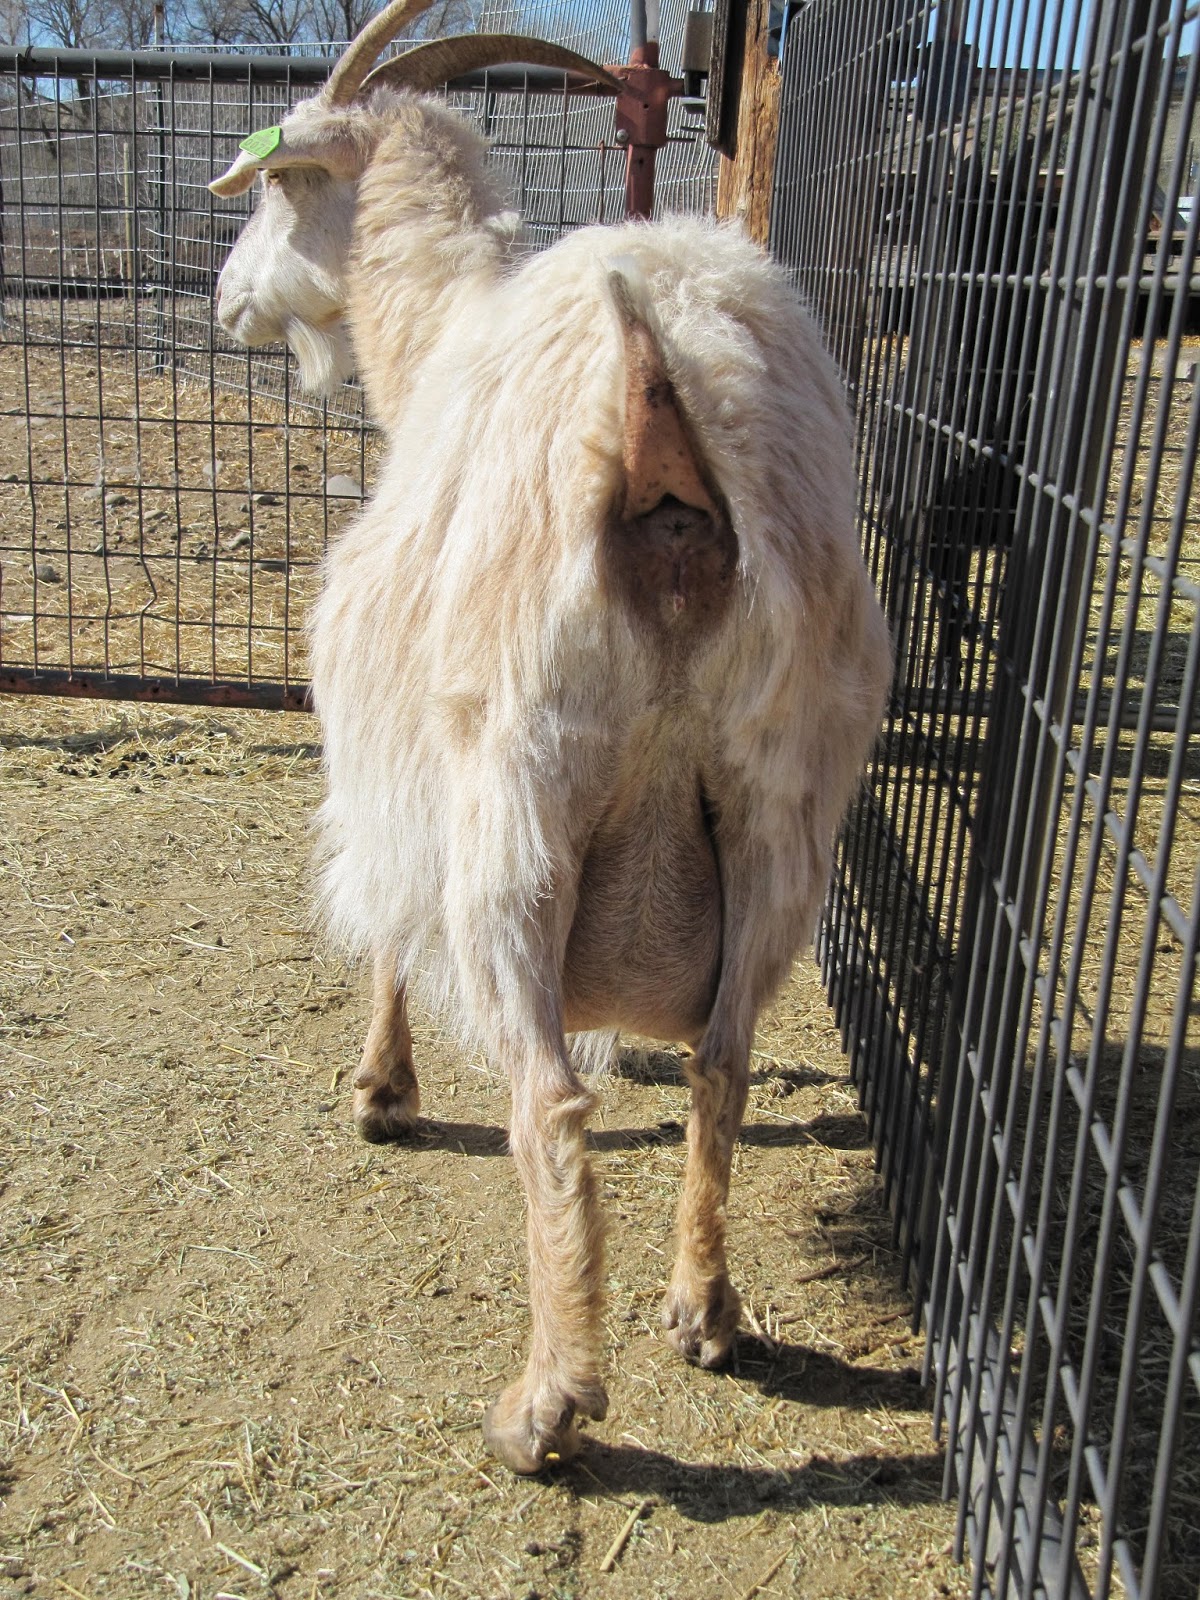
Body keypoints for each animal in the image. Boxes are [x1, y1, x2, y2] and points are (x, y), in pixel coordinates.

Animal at [210, 0, 892, 1476]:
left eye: (284, 187)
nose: (228, 299)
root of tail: (667, 428)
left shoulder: (399, 754)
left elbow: (388, 928)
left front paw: (382, 1090)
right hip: (783, 804)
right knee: (723, 1061)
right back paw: (704, 1310)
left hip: (522, 796)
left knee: (547, 1103)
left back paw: (550, 1404)